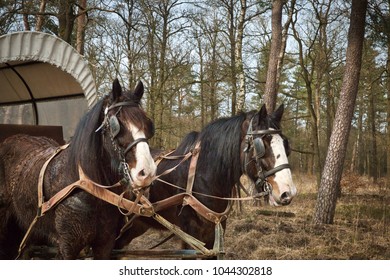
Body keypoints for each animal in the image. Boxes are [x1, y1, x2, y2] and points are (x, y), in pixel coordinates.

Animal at [114, 104, 298, 254]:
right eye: (262, 145)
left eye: (286, 144)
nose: (288, 192)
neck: (204, 177)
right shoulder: (191, 238)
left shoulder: (215, 233)